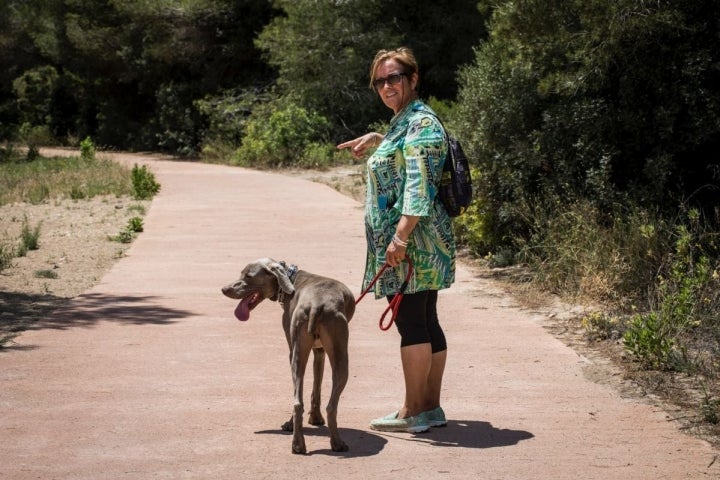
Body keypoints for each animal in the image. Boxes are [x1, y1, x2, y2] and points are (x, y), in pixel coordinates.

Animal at [221, 258, 352, 454]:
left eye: (248, 276)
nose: (224, 289)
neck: (291, 279)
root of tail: (317, 304)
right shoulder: (317, 351)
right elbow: (316, 388)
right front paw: (315, 418)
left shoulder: (313, 350)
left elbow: (315, 387)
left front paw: (314, 418)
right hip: (325, 356)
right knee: (322, 405)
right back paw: (331, 443)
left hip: (305, 352)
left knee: (300, 402)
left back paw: (301, 442)